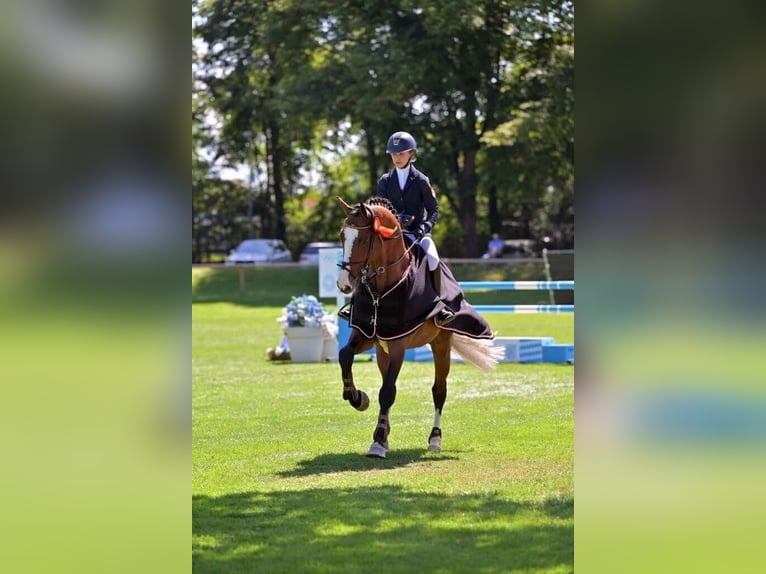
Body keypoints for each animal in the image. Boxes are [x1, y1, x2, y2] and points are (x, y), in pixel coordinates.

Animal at [336, 197, 504, 460]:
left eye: (362, 239)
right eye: (343, 236)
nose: (343, 285)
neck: (381, 289)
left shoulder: (398, 345)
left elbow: (387, 392)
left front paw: (378, 441)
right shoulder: (366, 335)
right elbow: (345, 356)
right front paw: (357, 398)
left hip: (441, 343)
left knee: (439, 390)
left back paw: (434, 439)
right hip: (382, 351)